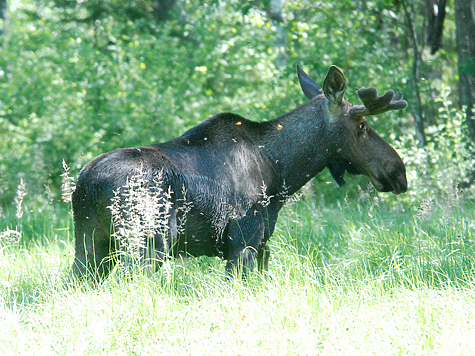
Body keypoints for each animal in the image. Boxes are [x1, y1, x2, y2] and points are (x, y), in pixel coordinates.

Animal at [70, 64, 410, 280]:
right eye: (362, 125)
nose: (398, 171)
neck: (283, 171)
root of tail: (86, 185)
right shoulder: (242, 242)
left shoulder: (261, 246)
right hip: (147, 242)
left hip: (90, 245)